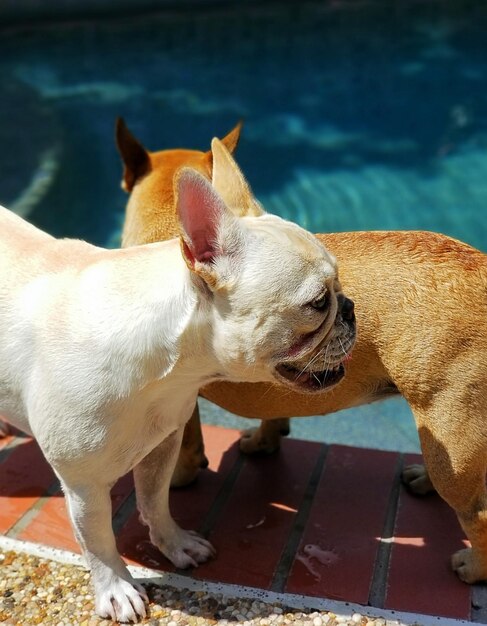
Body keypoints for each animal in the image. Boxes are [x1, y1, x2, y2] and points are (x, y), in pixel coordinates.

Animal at [116, 119, 487, 584]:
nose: (348, 306)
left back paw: (473, 567)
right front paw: (265, 440)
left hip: (453, 429)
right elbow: (274, 412)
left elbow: (185, 448)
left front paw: (181, 478)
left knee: (479, 513)